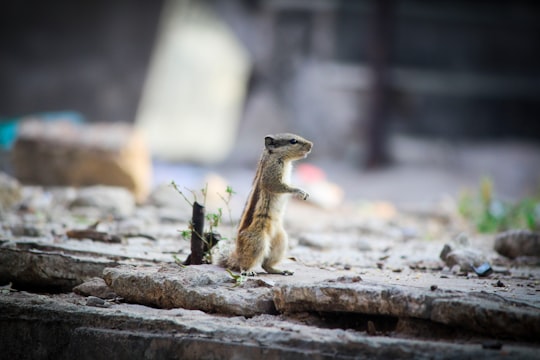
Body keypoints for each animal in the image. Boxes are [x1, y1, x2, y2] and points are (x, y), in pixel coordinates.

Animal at [217, 132, 314, 276]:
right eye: (293, 141)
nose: (311, 145)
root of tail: (236, 255)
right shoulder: (271, 173)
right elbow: (277, 185)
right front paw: (300, 191)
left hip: (281, 241)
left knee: (265, 265)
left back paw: (280, 270)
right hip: (258, 242)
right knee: (245, 263)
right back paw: (248, 271)